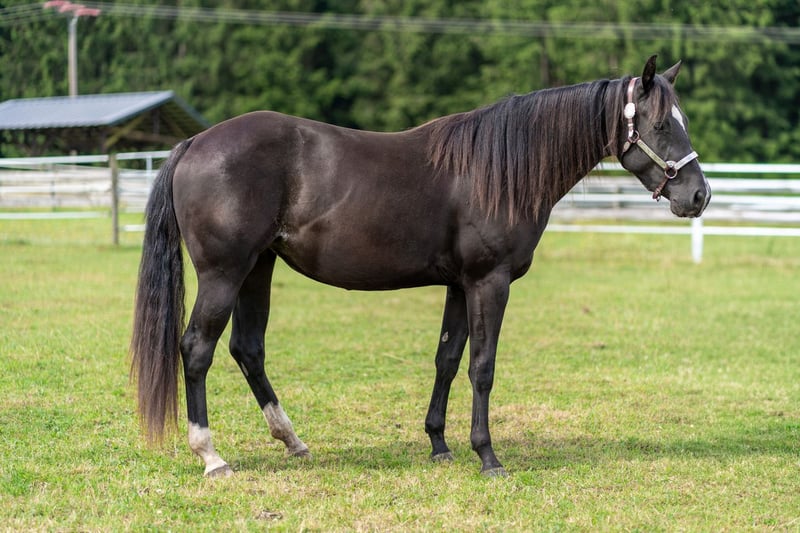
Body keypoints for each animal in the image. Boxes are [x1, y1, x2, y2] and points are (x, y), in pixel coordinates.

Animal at [131, 55, 710, 478]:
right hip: (224, 273)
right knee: (197, 349)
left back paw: (292, 441)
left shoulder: (459, 285)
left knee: (247, 349)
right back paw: (211, 456)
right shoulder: (489, 282)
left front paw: (439, 444)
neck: (495, 169)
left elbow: (447, 360)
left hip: (258, 268)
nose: (698, 195)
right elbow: (482, 367)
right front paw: (487, 456)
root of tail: (194, 143)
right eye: (662, 124)